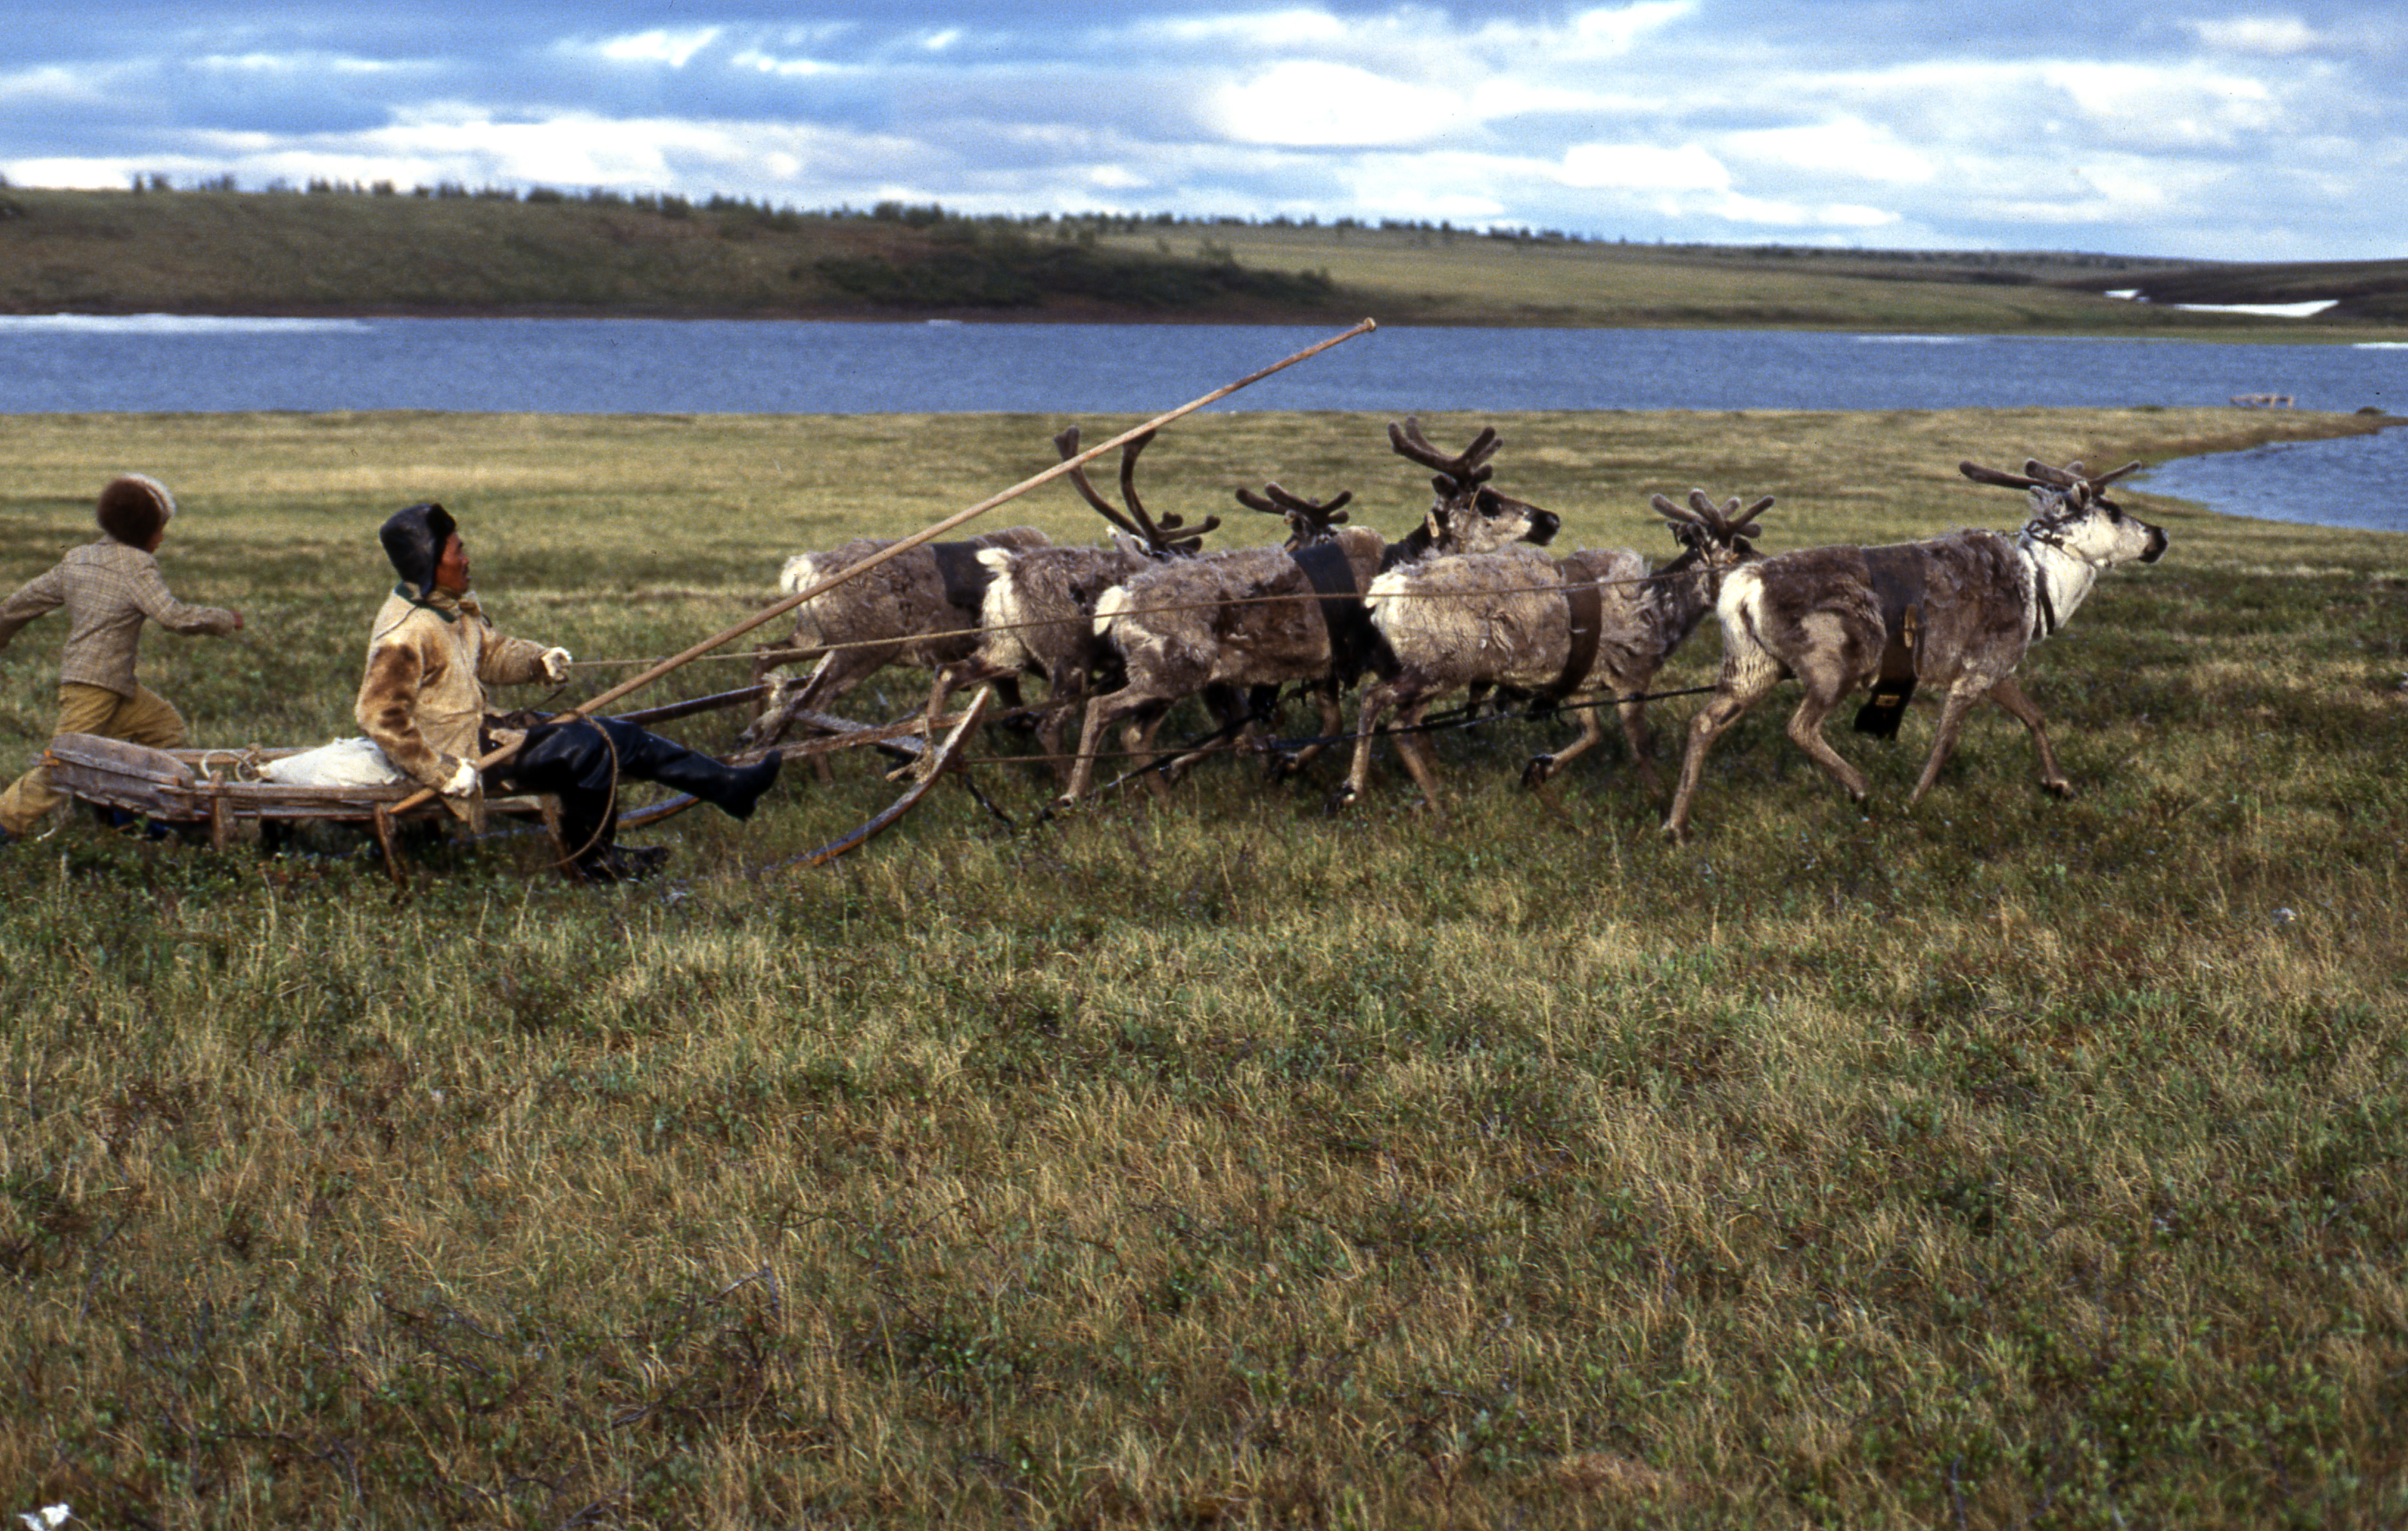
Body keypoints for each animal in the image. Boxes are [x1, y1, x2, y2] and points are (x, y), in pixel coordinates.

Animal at [1053, 418, 1563, 806]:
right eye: (1490, 501)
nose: (1552, 519)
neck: (1399, 561)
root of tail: (1117, 601)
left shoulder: (1326, 668)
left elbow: (1336, 725)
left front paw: (1289, 765)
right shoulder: (1372, 662)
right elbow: (1376, 721)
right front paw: (1328, 777)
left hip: (1178, 679)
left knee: (1135, 735)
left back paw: (1163, 793)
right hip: (1171, 673)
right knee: (1102, 710)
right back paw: (1073, 795)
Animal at [1337, 488, 1773, 813]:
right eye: (1738, 548)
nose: (1771, 567)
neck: (1664, 612)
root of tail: (1384, 593)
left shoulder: (1579, 682)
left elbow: (1593, 734)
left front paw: (1538, 771)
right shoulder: (1632, 678)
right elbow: (1640, 748)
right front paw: (1659, 800)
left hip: (1431, 669)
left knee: (1401, 719)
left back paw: (1436, 798)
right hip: (1439, 666)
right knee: (1380, 703)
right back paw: (1360, 788)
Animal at [1660, 458, 2168, 840]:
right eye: (2115, 511)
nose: (2160, 536)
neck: (2041, 587)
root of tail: (1742, 587)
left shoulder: (1997, 670)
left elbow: (2035, 717)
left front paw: (2060, 785)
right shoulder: (1975, 671)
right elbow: (1946, 742)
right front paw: (1914, 801)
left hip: (1751, 666)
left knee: (1704, 722)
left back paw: (1676, 825)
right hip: (1835, 664)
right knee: (1799, 726)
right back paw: (1861, 788)